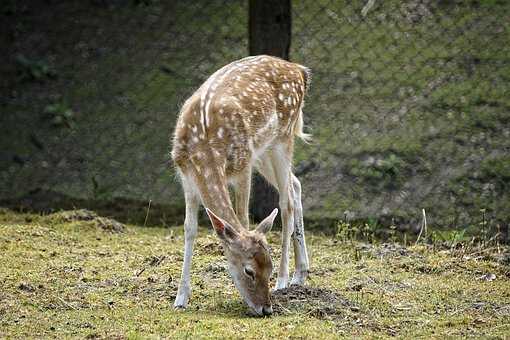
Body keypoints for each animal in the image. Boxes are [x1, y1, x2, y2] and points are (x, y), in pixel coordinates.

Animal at [171, 53, 310, 316]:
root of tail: (300, 70)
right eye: (249, 270)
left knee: (286, 201)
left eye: (268, 267)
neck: (206, 149)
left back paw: (284, 280)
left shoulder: (244, 164)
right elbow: (189, 228)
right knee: (295, 185)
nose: (266, 309)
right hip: (265, 151)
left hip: (282, 138)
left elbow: (243, 219)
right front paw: (180, 298)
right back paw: (300, 273)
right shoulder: (186, 176)